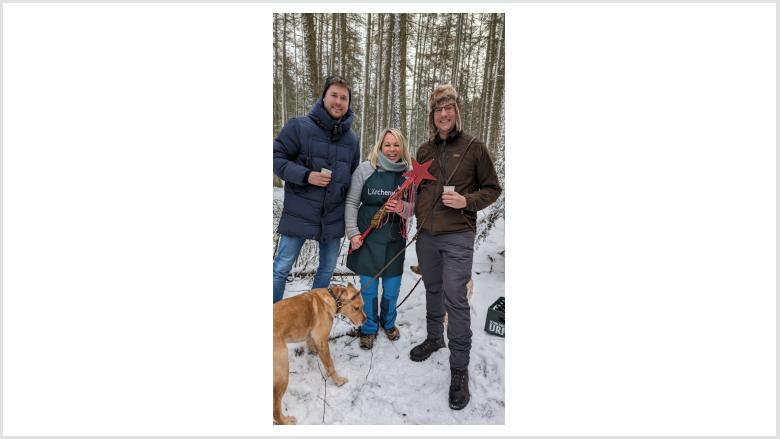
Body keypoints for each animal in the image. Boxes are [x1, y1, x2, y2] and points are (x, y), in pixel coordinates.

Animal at [272, 284, 368, 424]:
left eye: (363, 306)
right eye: (356, 308)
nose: (366, 320)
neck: (333, 298)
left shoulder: (313, 338)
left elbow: (312, 346)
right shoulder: (322, 341)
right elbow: (330, 365)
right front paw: (338, 381)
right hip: (283, 372)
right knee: (275, 407)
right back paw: (285, 421)